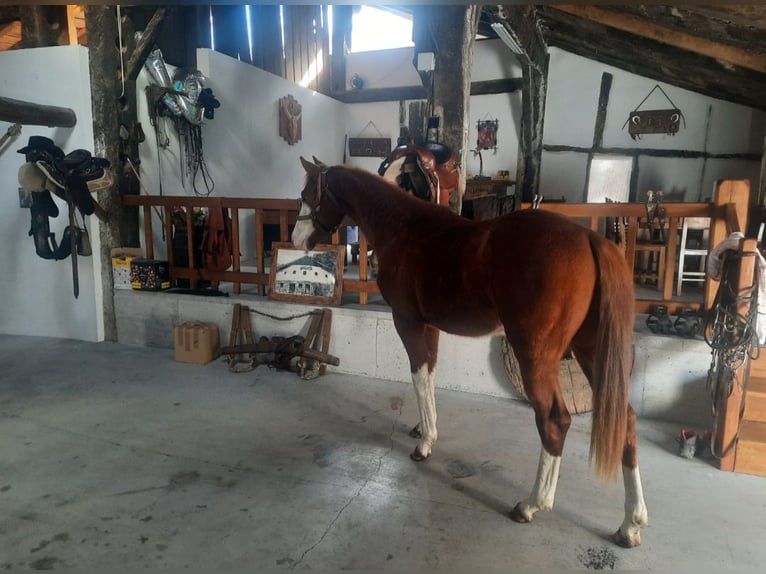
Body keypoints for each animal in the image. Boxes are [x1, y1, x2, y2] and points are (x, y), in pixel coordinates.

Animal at [292, 158, 652, 548]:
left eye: (306, 194)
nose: (296, 240)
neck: (403, 228)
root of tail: (590, 239)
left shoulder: (408, 322)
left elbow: (418, 377)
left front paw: (426, 444)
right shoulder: (430, 327)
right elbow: (430, 376)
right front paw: (424, 428)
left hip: (536, 357)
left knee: (555, 420)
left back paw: (532, 504)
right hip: (590, 351)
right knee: (626, 421)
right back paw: (630, 523)